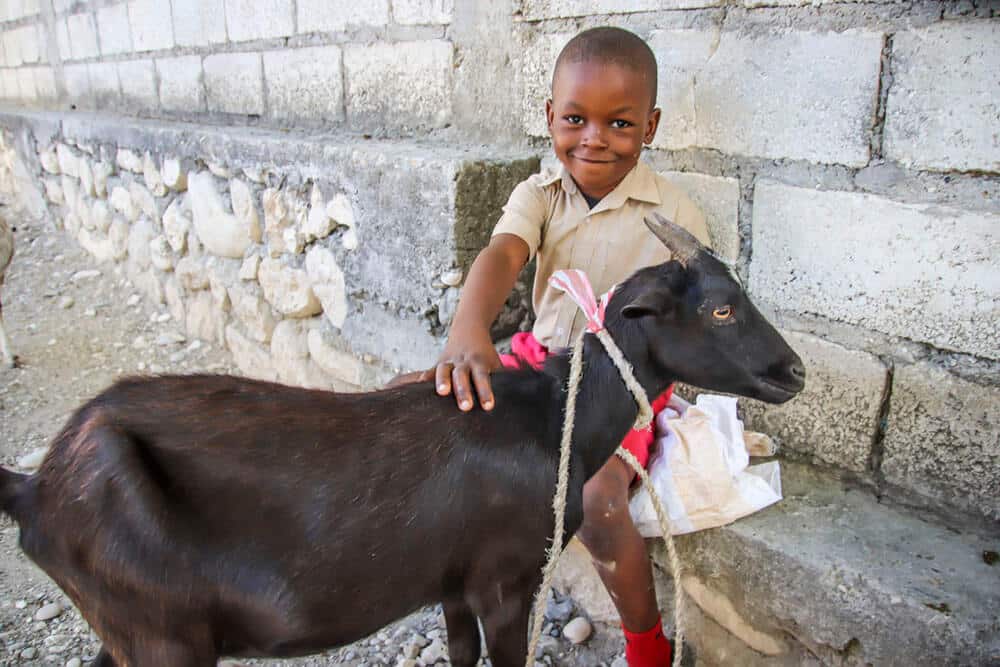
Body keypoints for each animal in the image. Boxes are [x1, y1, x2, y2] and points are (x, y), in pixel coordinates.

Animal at [0, 217, 800, 664]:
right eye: (721, 307)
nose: (792, 371)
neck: (550, 420)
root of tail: (37, 486)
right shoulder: (505, 579)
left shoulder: (451, 582)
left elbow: (458, 655)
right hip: (161, 634)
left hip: (136, 628)